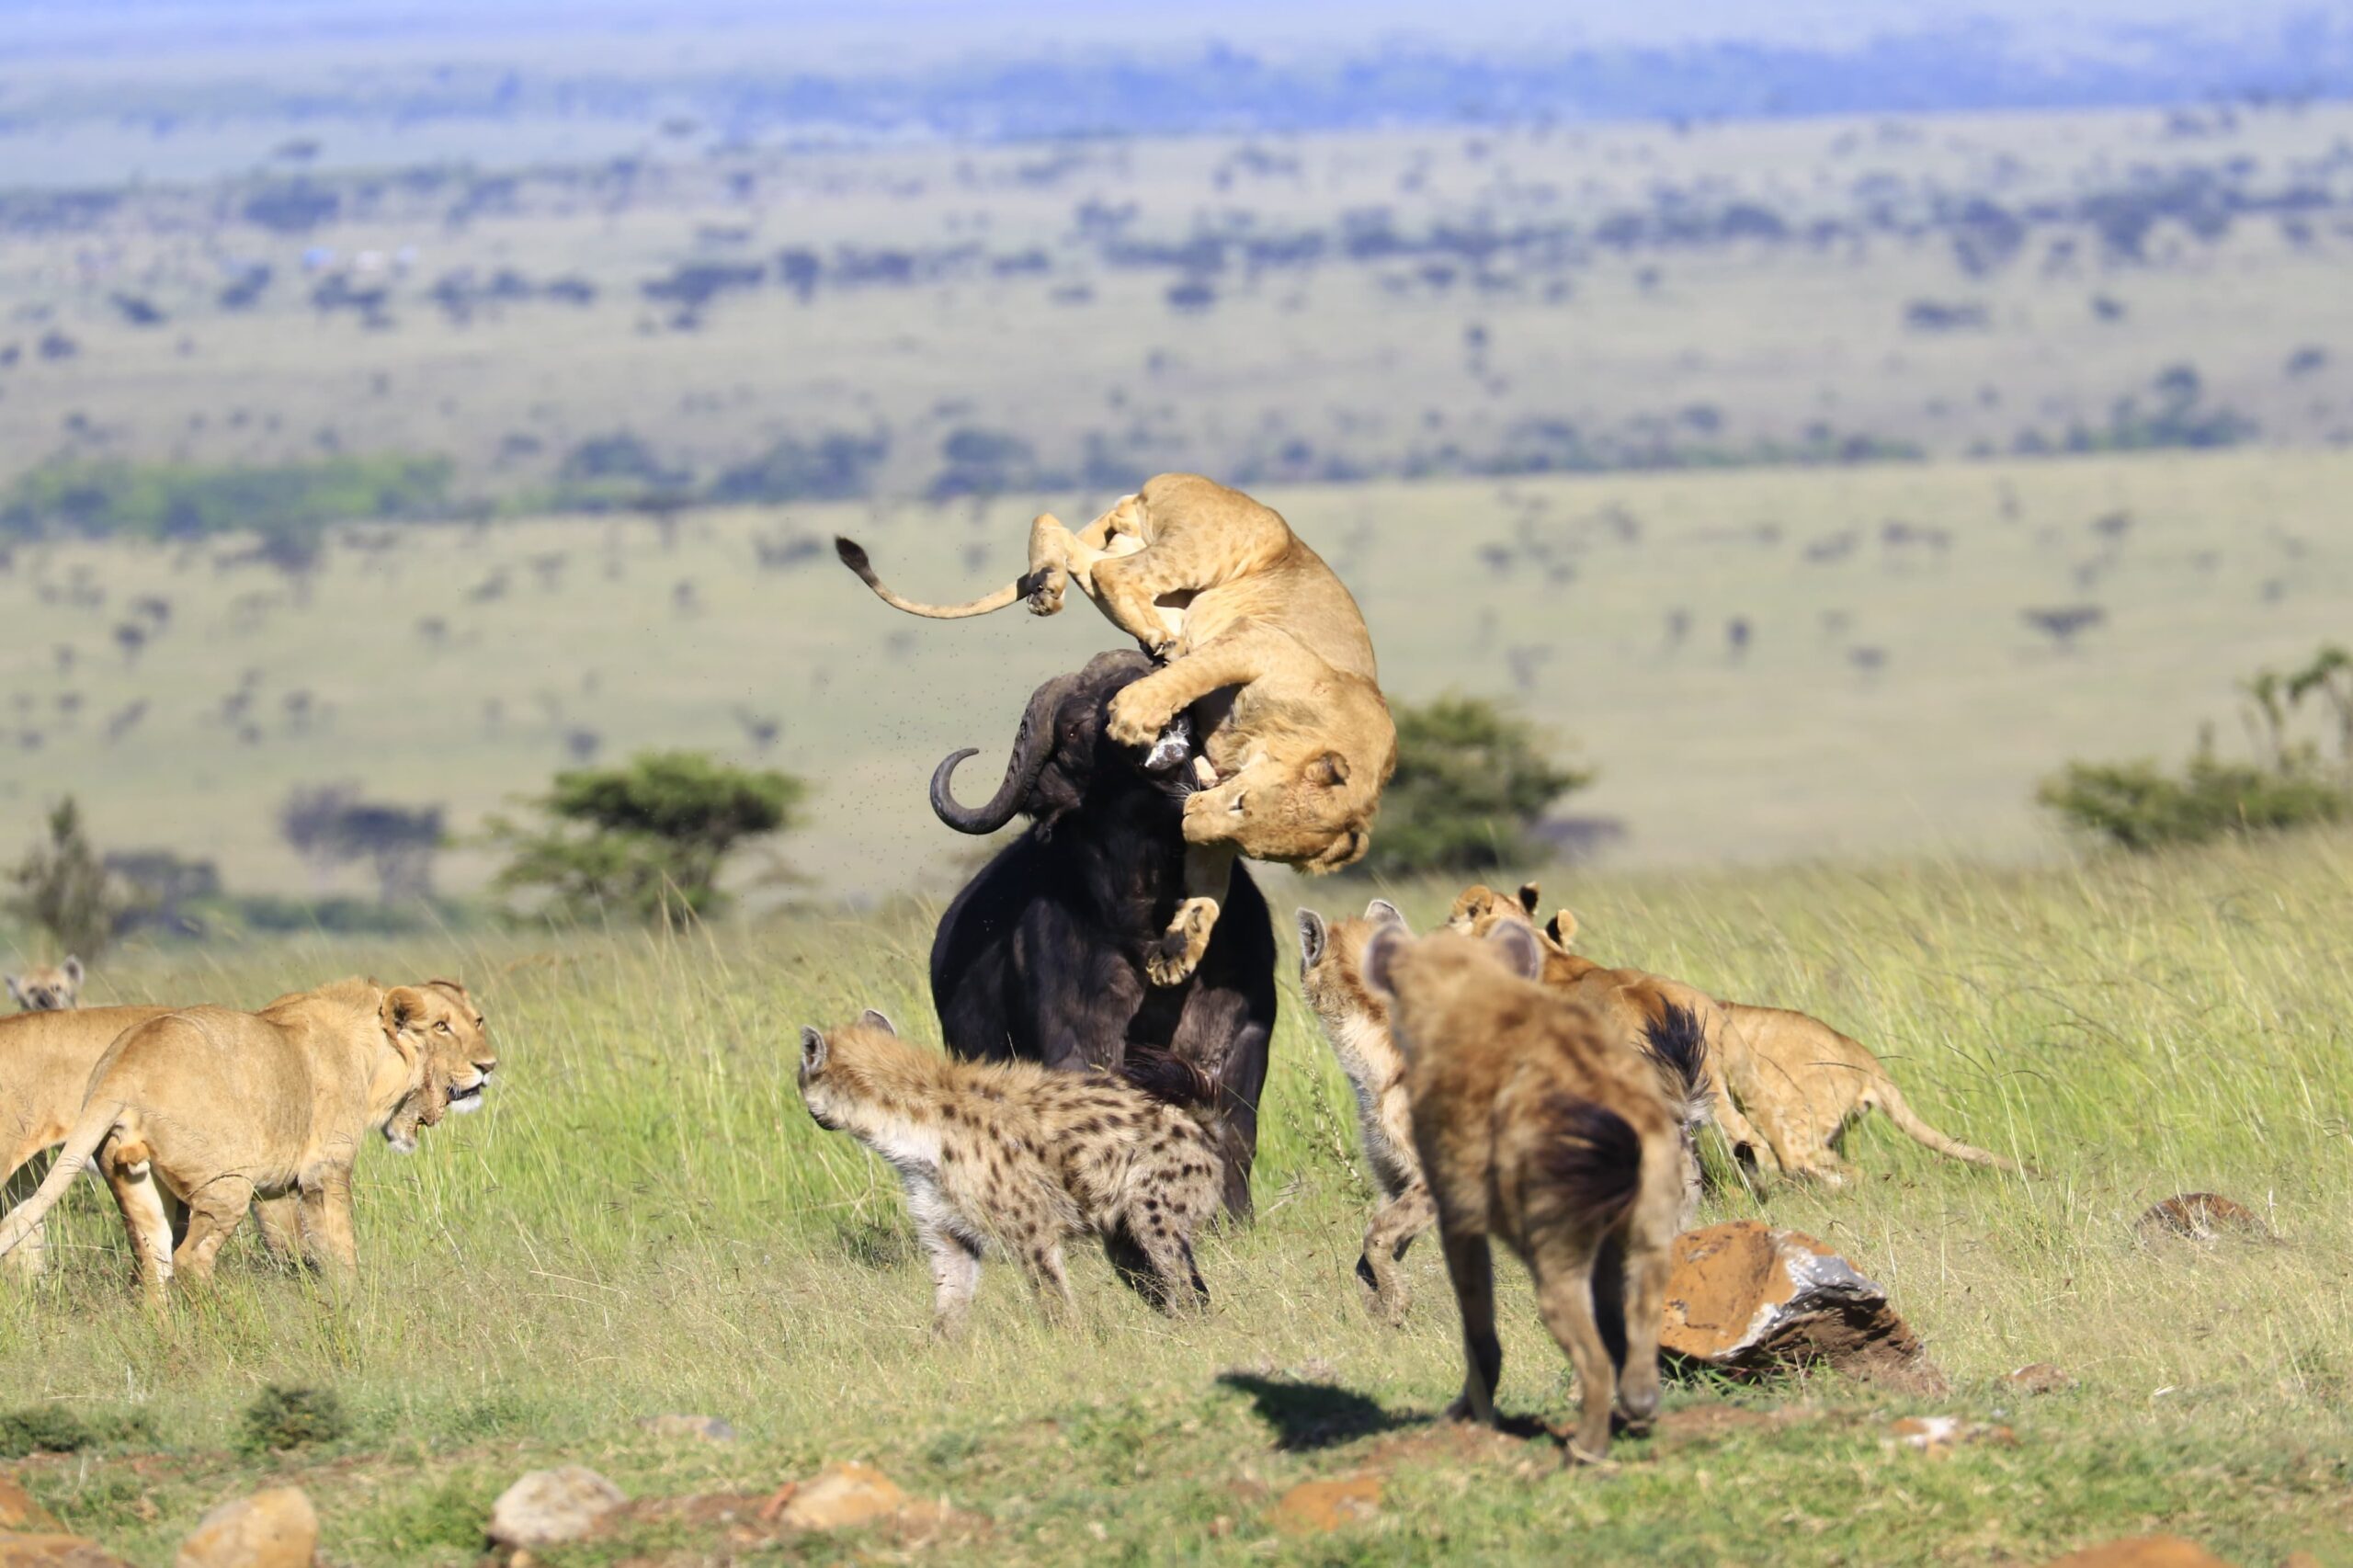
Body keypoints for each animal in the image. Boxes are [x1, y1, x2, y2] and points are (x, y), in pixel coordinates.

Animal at [0, 979, 496, 1295]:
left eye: (478, 1021)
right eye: (441, 1027)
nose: (489, 1066)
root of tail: (122, 1068)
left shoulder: (282, 1186)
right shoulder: (324, 1171)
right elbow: (339, 1249)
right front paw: (351, 1304)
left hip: (133, 1182)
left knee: (153, 1266)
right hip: (227, 1184)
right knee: (190, 1261)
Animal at [838, 472, 1397, 986]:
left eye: (1253, 848)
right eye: (1241, 805)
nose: (1187, 820)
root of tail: (1170, 480)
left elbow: (1207, 890)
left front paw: (1178, 955)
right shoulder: (1258, 641)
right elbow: (1201, 672)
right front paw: (1132, 714)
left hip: (1151, 560)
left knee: (1069, 542)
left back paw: (1061, 590)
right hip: (1220, 548)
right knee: (1107, 570)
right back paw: (1146, 637)